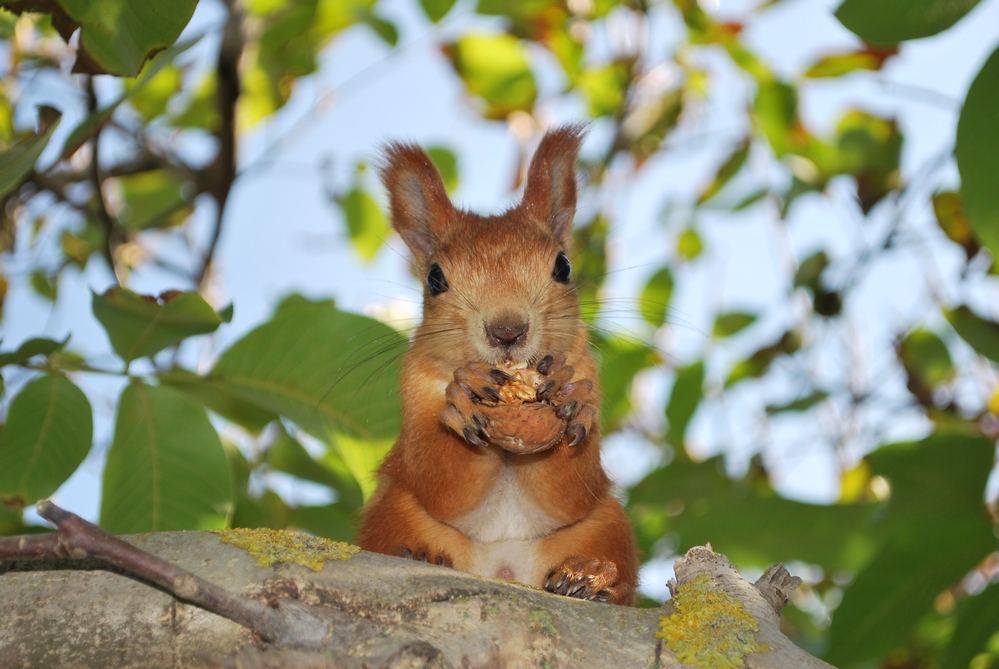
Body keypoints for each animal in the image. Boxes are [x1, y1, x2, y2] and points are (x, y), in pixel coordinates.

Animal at [360, 125, 640, 604]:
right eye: (434, 278)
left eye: (563, 266)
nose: (507, 331)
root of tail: (503, 570)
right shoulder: (415, 393)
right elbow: (439, 480)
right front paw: (464, 396)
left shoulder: (587, 371)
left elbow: (572, 490)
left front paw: (569, 398)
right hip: (392, 510)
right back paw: (421, 556)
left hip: (606, 525)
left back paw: (588, 579)